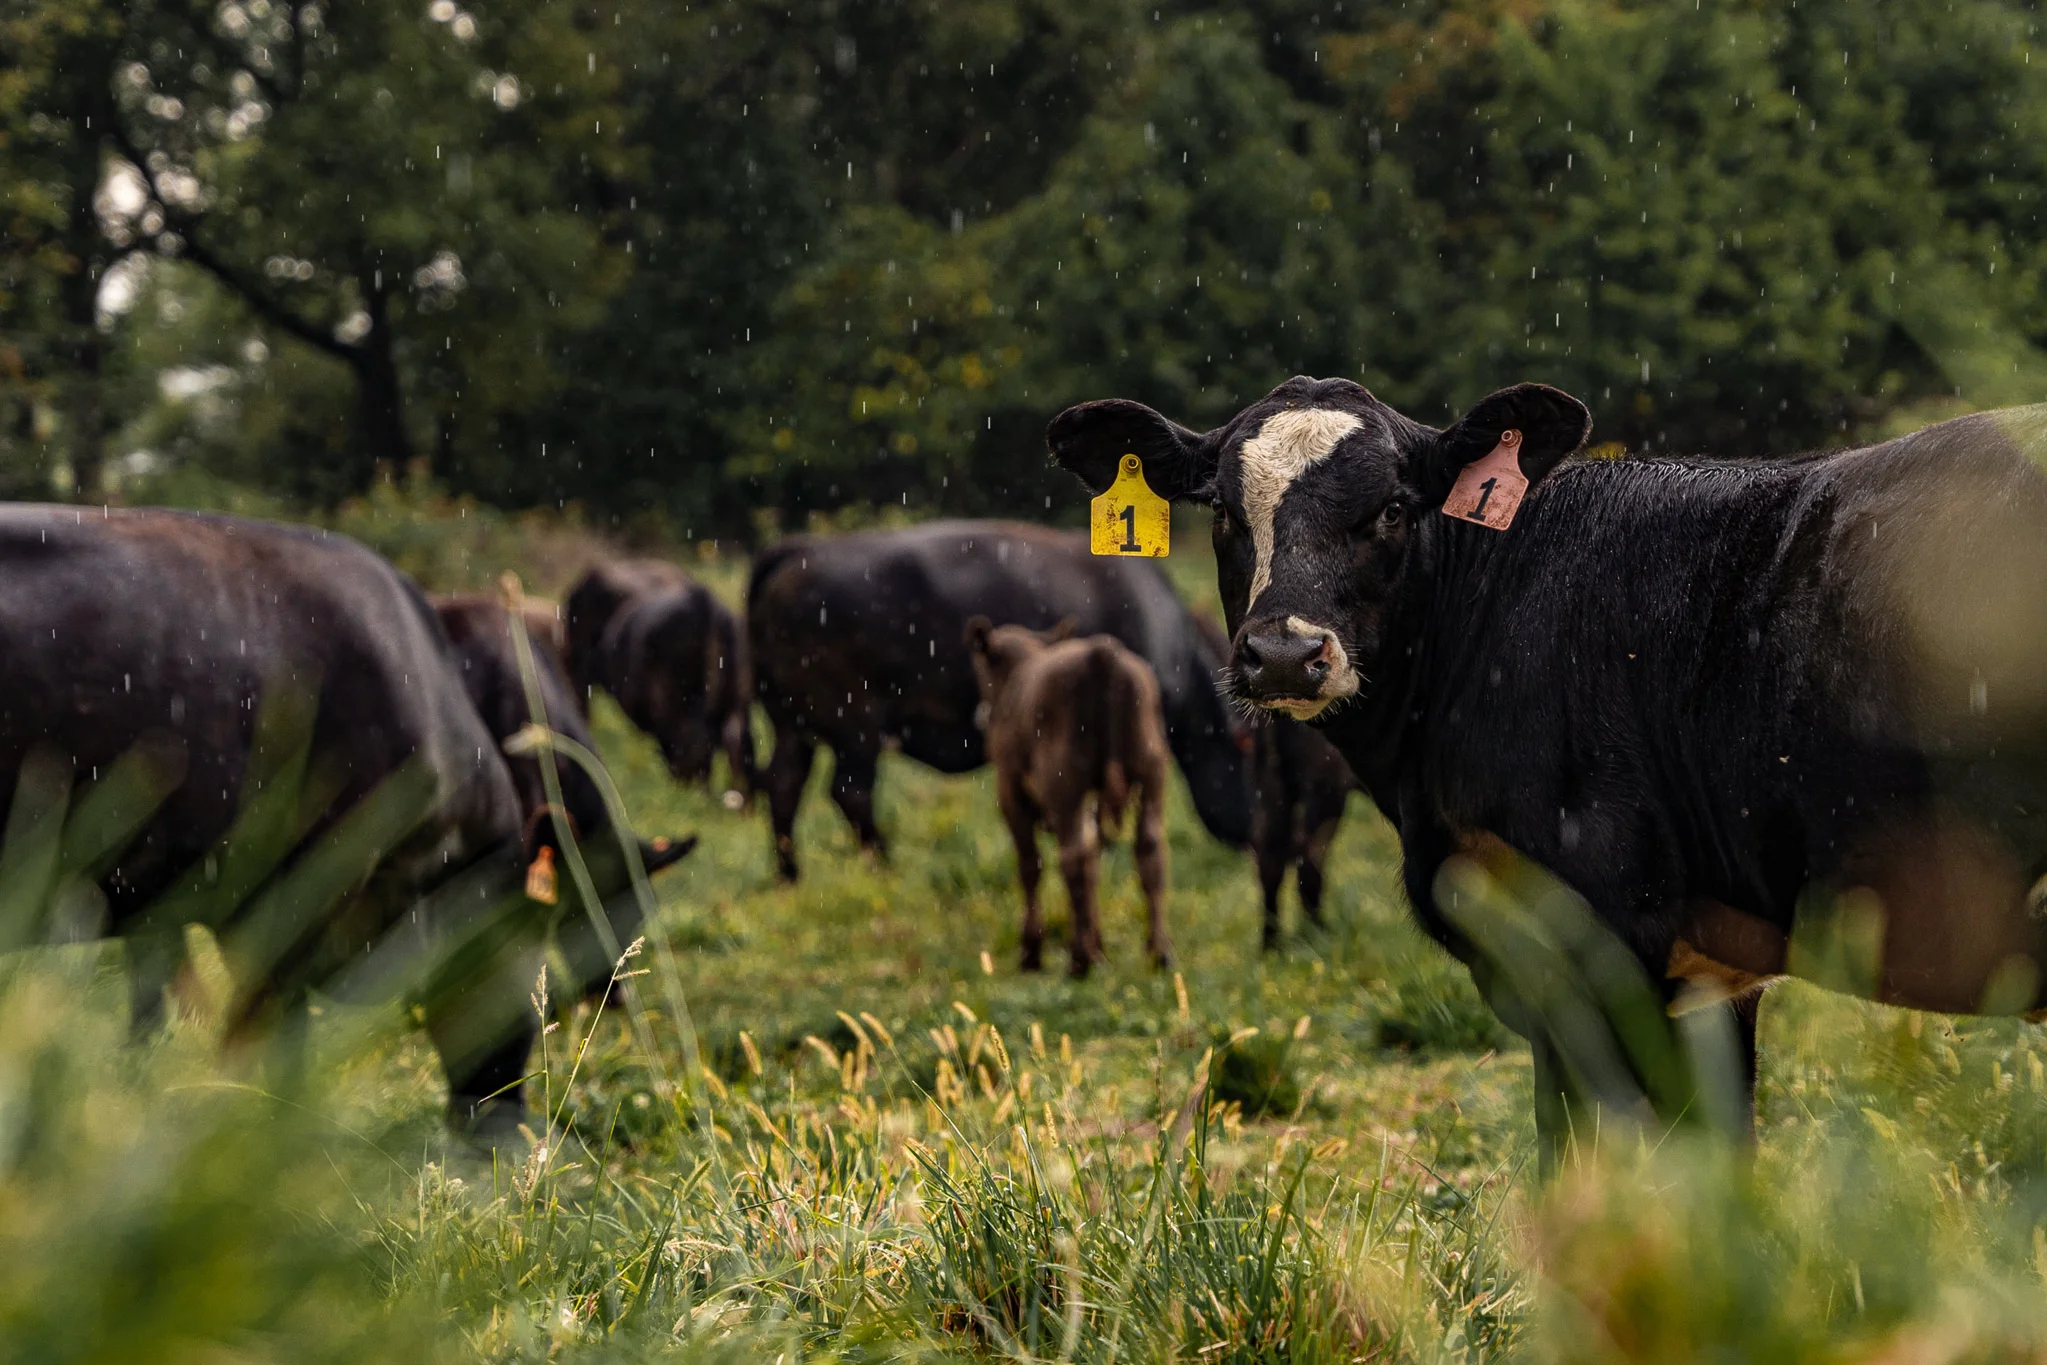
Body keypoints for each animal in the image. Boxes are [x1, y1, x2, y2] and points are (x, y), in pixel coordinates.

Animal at [746, 521, 1253, 882]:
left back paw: (790, 874)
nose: (1258, 840)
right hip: (857, 728)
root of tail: (799, 551)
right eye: (1255, 763)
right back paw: (884, 865)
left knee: (785, 783)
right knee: (850, 791)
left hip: (795, 728)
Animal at [966, 618, 1173, 976]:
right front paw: (1099, 946)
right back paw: (1158, 953)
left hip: (1064, 784)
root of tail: (1101, 653)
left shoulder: (1011, 791)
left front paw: (1032, 952)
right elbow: (1094, 862)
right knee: (1149, 851)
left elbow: (1030, 865)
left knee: (1072, 856)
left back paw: (1079, 959)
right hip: (1151, 772)